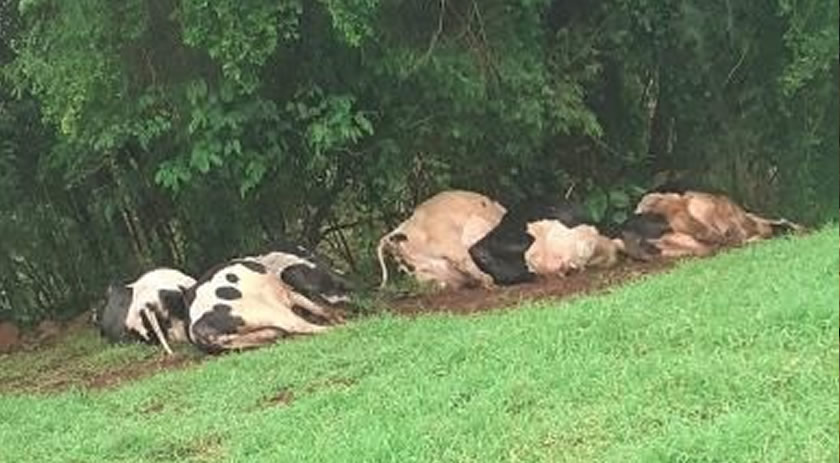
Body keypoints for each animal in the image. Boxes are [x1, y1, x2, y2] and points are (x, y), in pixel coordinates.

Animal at [185, 259, 340, 354]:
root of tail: (195, 329)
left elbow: (315, 307)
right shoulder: (286, 294)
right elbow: (312, 306)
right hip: (265, 310)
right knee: (297, 325)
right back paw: (335, 328)